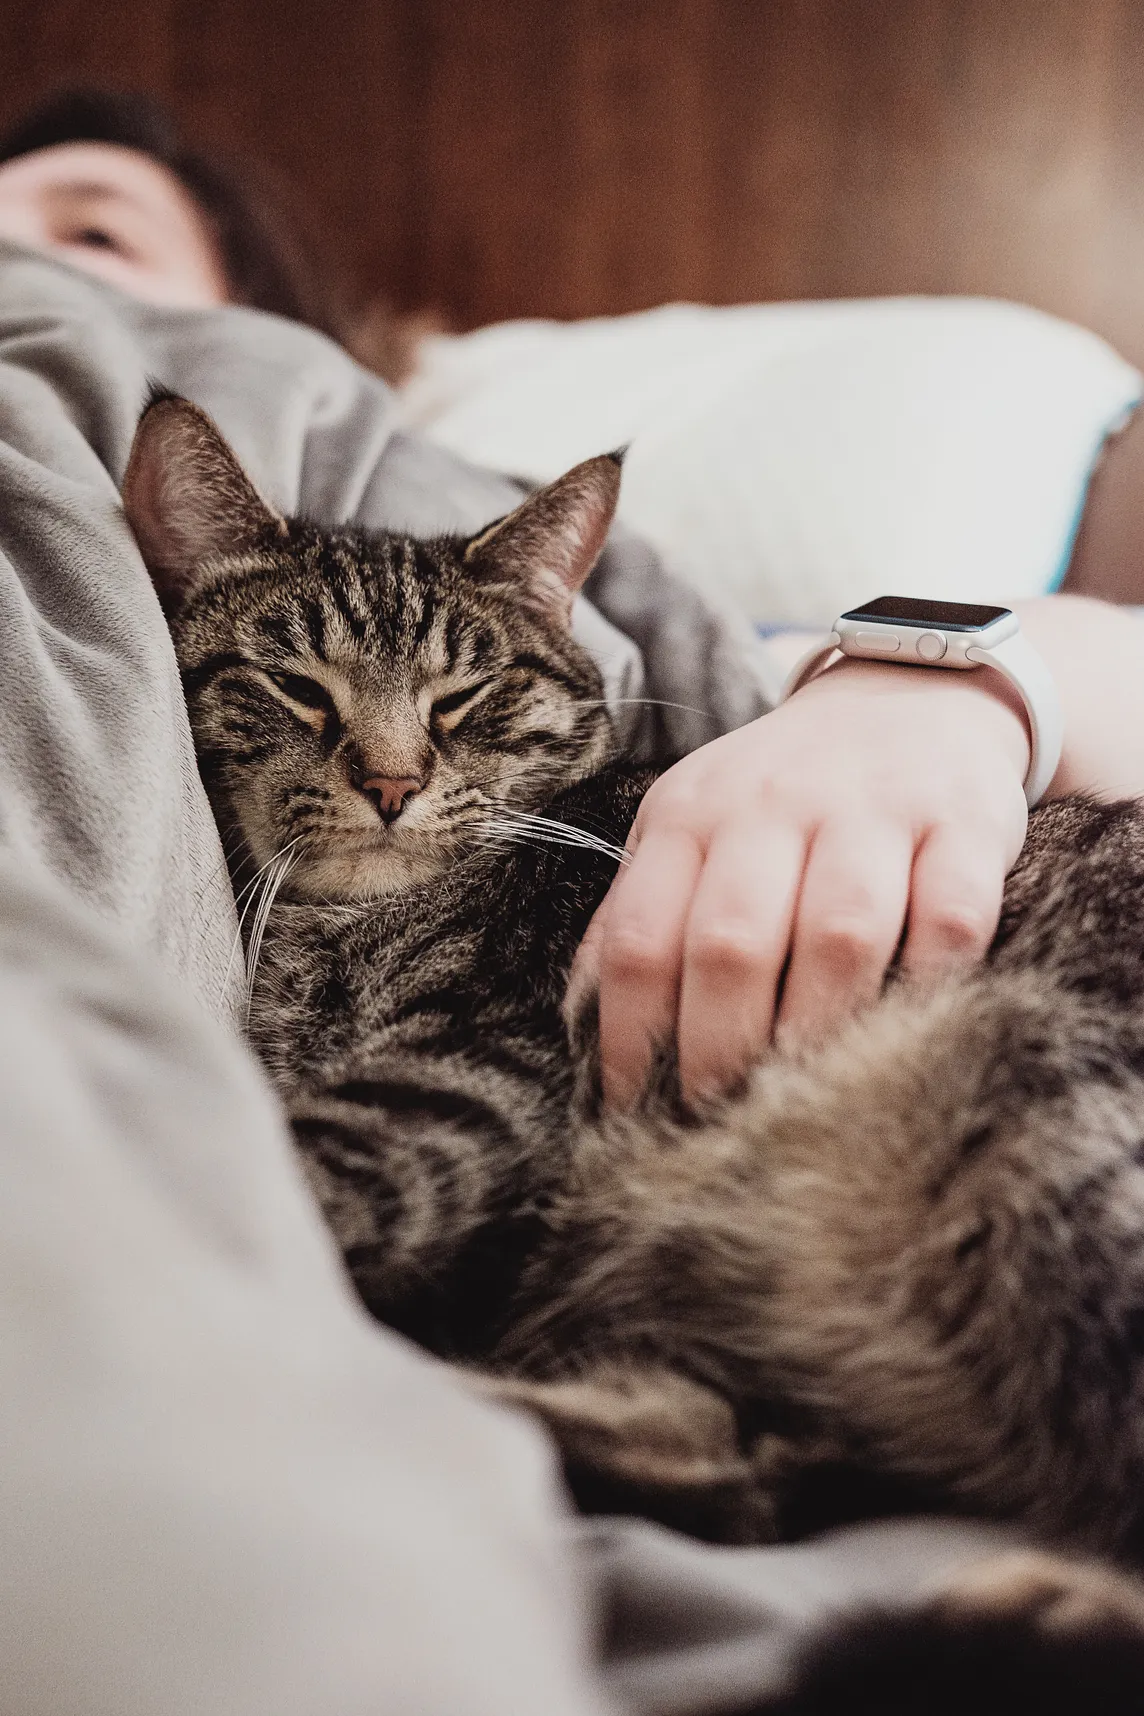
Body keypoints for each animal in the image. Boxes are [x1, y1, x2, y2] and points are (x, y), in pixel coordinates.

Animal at [123, 398, 1144, 1702]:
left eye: (467, 697)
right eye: (295, 686)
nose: (393, 782)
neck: (333, 933)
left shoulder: (476, 1072)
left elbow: (299, 1167)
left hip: (1048, 1102)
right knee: (738, 1465)